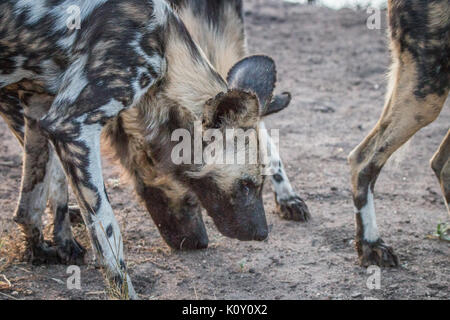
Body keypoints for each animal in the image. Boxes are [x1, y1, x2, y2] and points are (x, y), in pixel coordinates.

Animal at [1, 0, 298, 298]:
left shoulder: (38, 108)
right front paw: (124, 289)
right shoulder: (72, 127)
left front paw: (43, 249)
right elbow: (108, 232)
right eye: (246, 185)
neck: (164, 48)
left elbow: (32, 203)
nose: (263, 234)